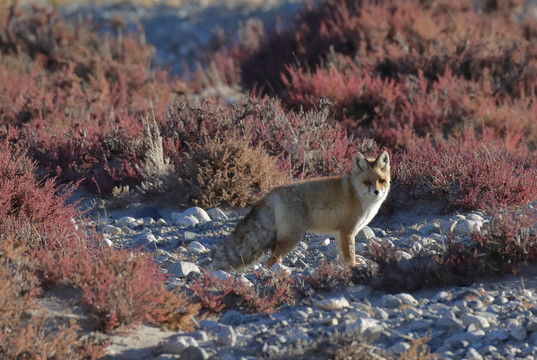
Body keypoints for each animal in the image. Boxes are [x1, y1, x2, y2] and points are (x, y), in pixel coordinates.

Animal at [209, 150, 390, 272]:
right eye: (367, 182)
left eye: (381, 181)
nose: (377, 192)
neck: (357, 195)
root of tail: (271, 194)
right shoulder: (347, 232)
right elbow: (349, 259)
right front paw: (352, 271)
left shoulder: (340, 234)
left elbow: (342, 259)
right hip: (293, 237)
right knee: (271, 261)